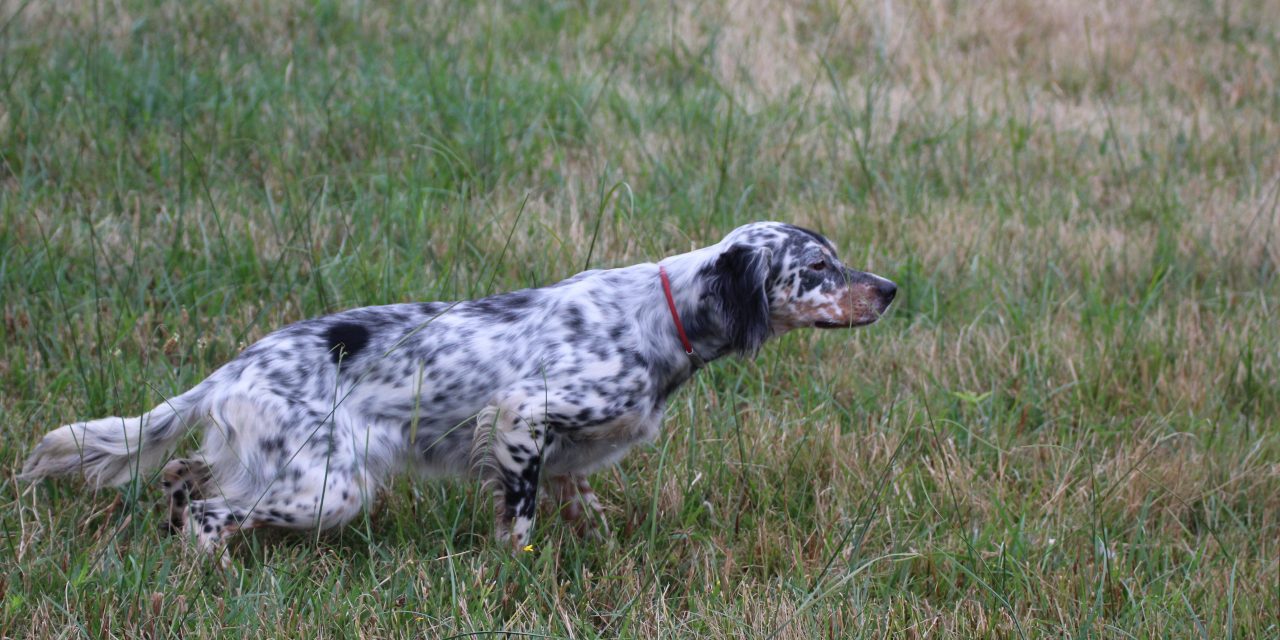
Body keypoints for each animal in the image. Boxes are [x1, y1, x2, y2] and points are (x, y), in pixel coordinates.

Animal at [22, 221, 901, 560]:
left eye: (839, 259)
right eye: (817, 269)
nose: (891, 289)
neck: (663, 315)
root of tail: (233, 368)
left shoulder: (567, 454)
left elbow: (578, 504)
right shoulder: (522, 417)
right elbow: (521, 519)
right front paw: (515, 572)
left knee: (181, 473)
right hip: (329, 487)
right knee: (212, 511)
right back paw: (206, 563)